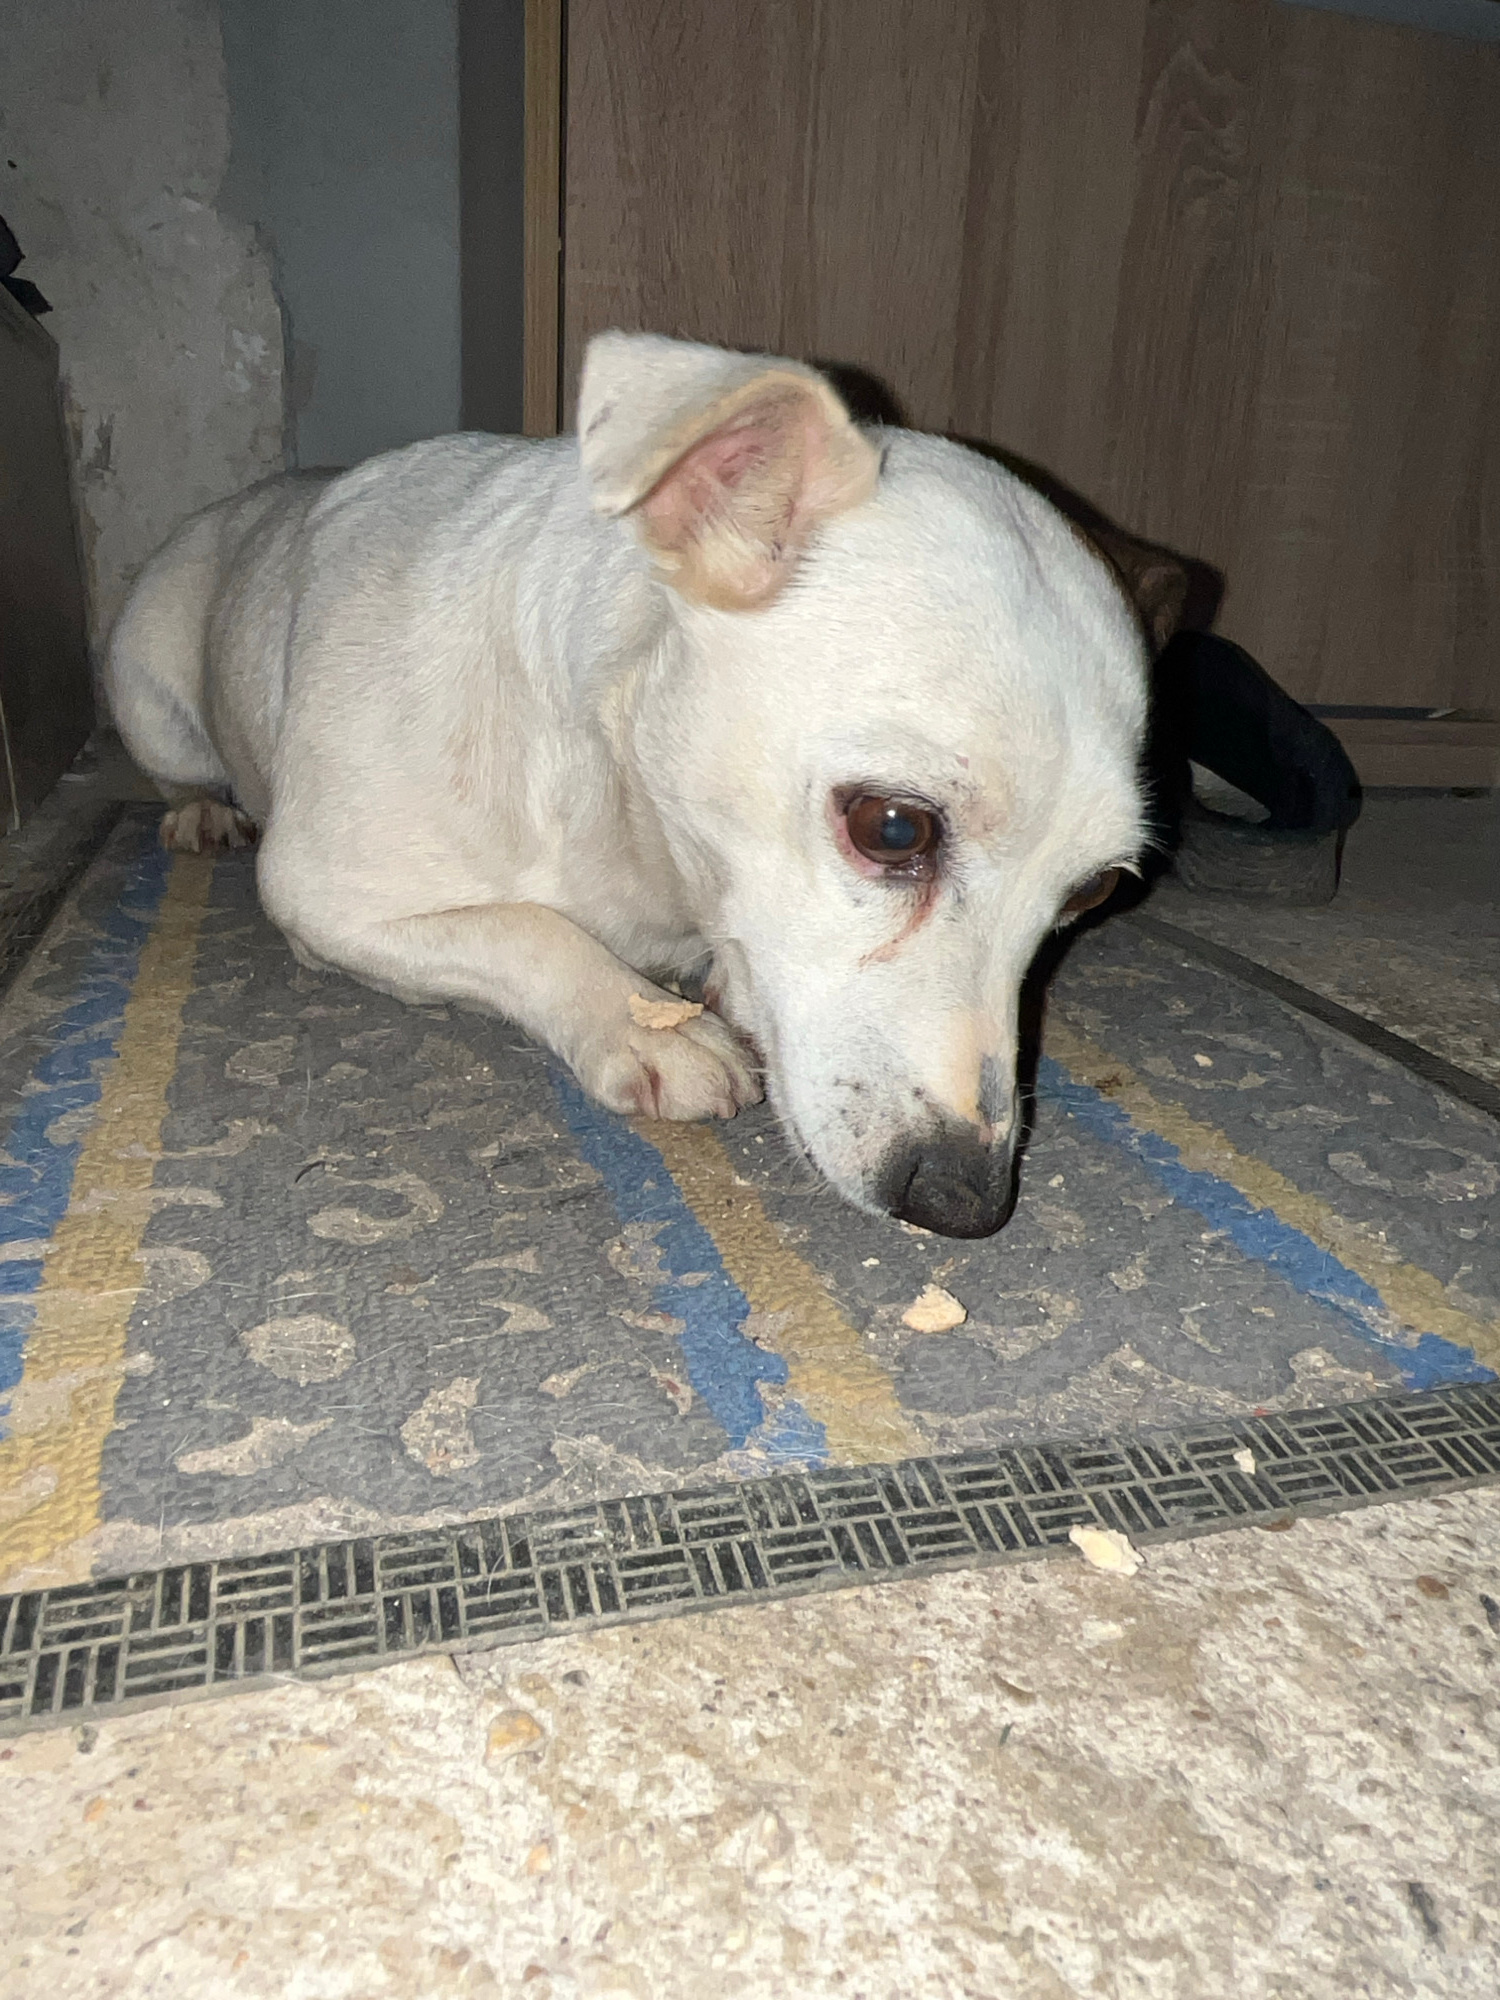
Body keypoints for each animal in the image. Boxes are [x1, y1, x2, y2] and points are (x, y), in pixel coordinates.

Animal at [105, 332, 1149, 1239]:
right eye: (893, 828)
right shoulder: (325, 898)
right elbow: (527, 930)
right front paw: (644, 1026)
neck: (627, 822)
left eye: (1094, 892)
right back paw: (200, 810)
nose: (967, 1202)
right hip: (150, 688)